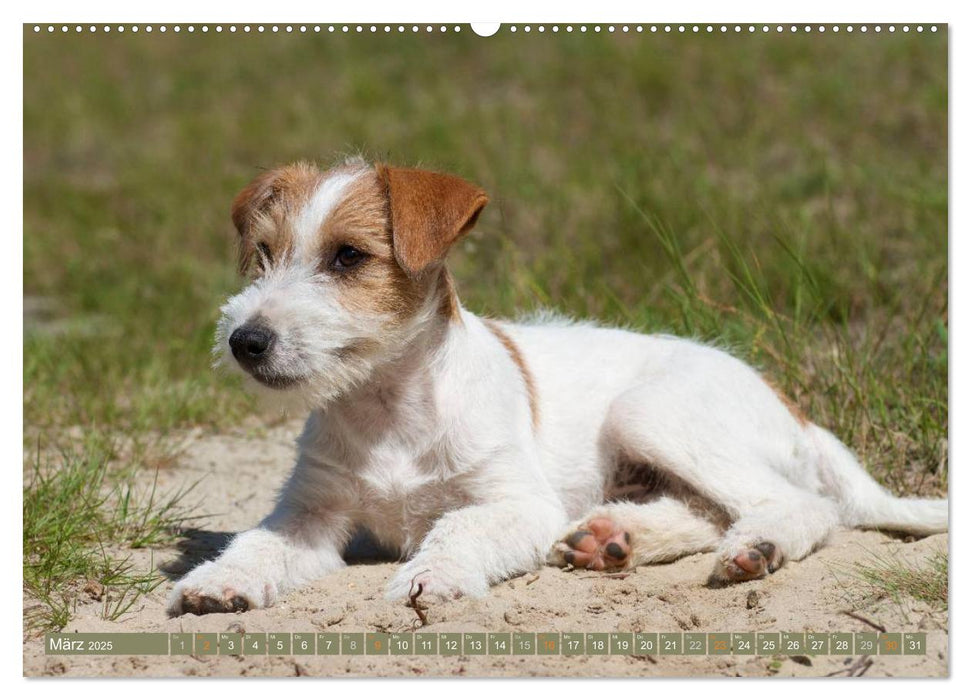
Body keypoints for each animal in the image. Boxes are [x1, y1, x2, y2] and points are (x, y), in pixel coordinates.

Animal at [167, 156, 948, 616]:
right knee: (705, 510)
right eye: (262, 256)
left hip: (649, 412)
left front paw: (432, 576)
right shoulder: (309, 514)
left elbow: (457, 527)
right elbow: (257, 544)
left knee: (797, 505)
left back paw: (754, 548)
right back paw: (613, 538)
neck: (387, 405)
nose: (245, 341)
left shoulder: (515, 503)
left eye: (348, 257)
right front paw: (214, 583)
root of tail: (797, 413)